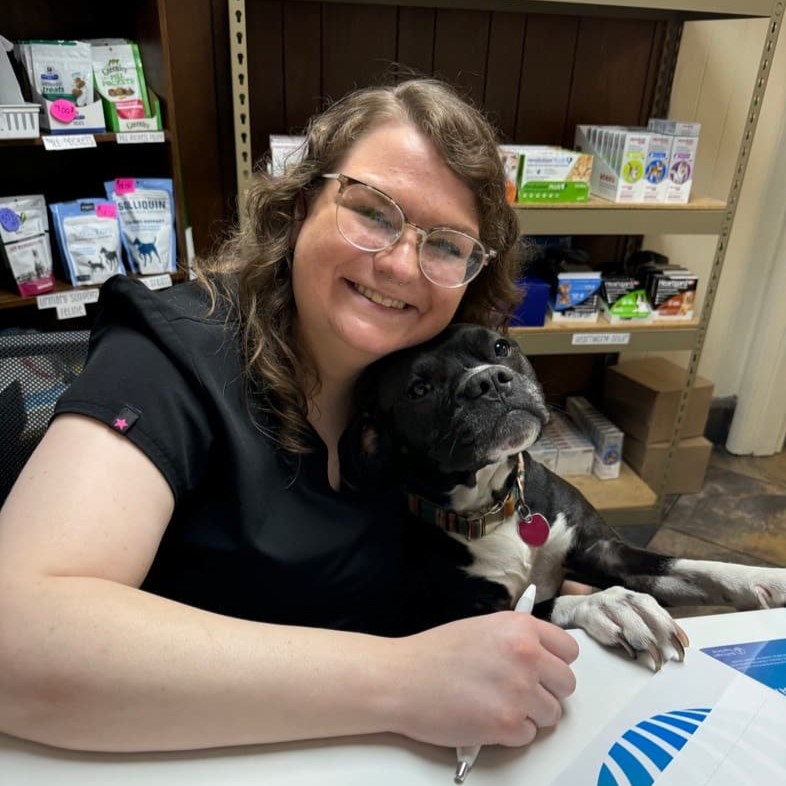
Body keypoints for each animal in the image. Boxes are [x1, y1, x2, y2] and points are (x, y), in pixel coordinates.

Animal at [342, 324, 784, 668]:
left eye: (500, 347)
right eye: (419, 389)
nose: (488, 380)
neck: (494, 505)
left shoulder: (604, 550)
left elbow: (690, 565)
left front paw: (765, 579)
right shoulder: (462, 620)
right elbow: (543, 608)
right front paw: (614, 604)